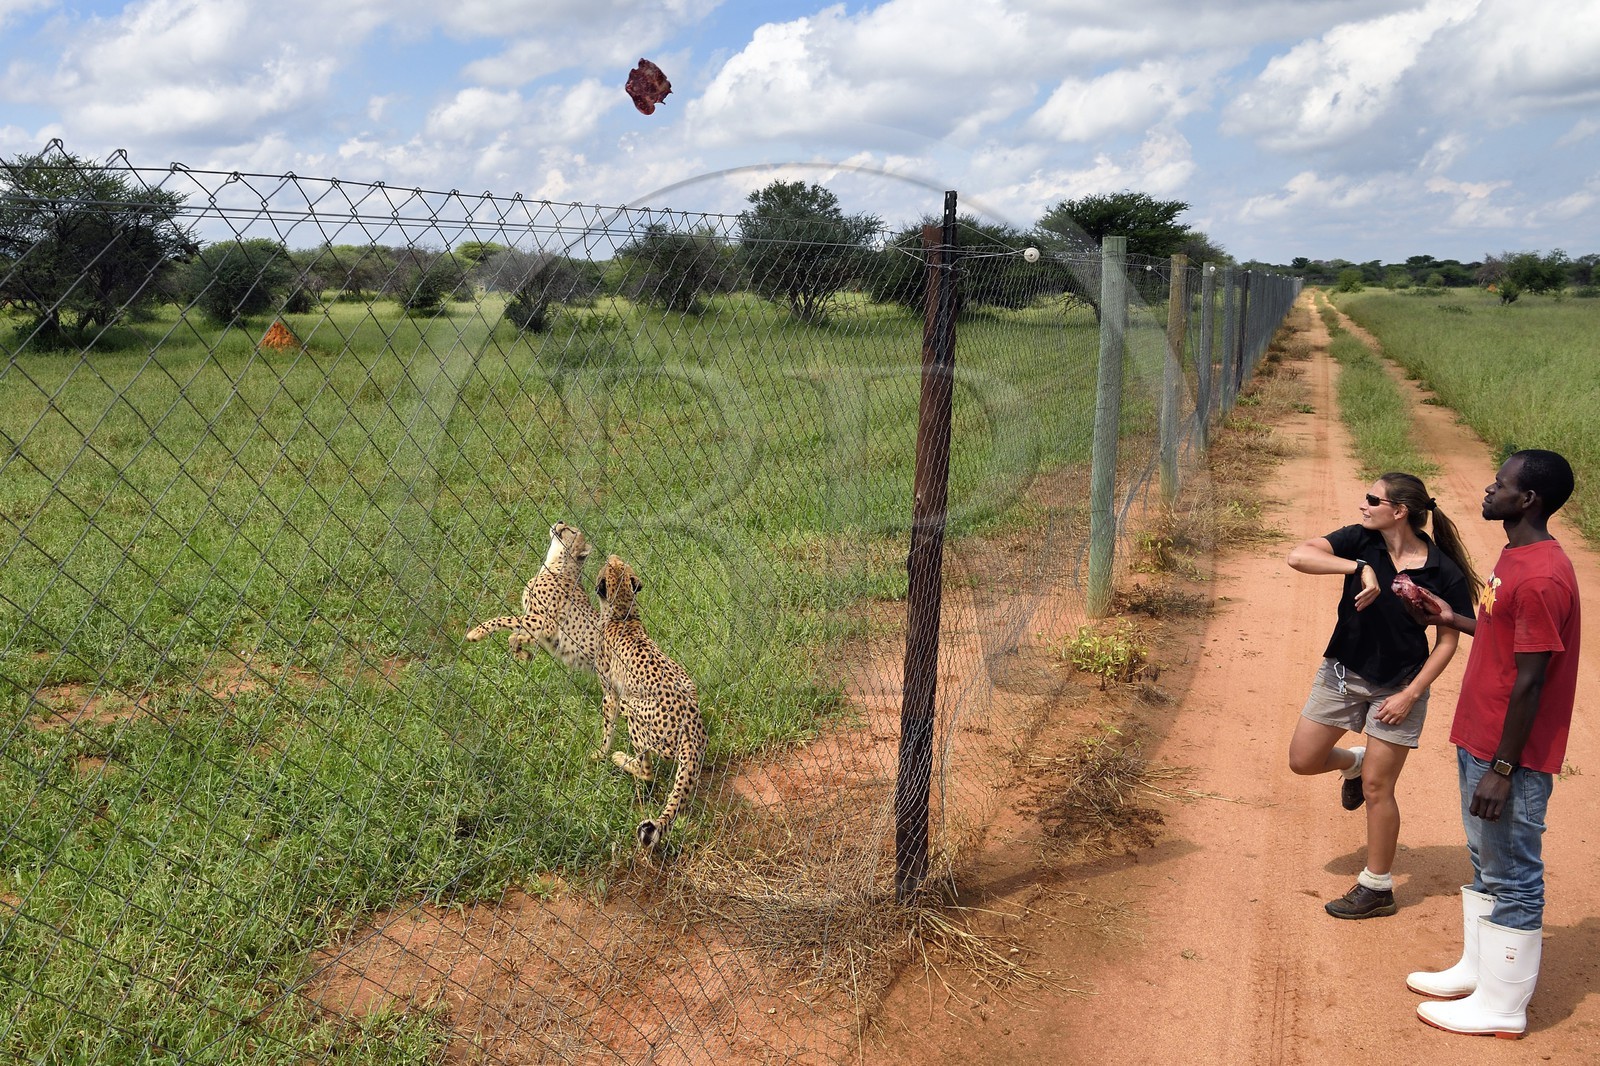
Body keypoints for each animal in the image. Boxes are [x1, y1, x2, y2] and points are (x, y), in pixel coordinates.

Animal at [465, 521, 600, 675]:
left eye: (571, 531)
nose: (560, 521)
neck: (557, 564)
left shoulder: (549, 623)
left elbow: (507, 619)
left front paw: (477, 632)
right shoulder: (545, 631)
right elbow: (516, 635)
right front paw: (523, 653)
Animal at [592, 554, 706, 850]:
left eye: (611, 564)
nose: (610, 555)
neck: (623, 614)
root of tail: (693, 729)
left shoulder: (611, 696)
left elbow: (606, 732)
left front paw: (599, 754)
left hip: (632, 708)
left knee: (647, 771)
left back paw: (622, 759)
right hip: (688, 684)